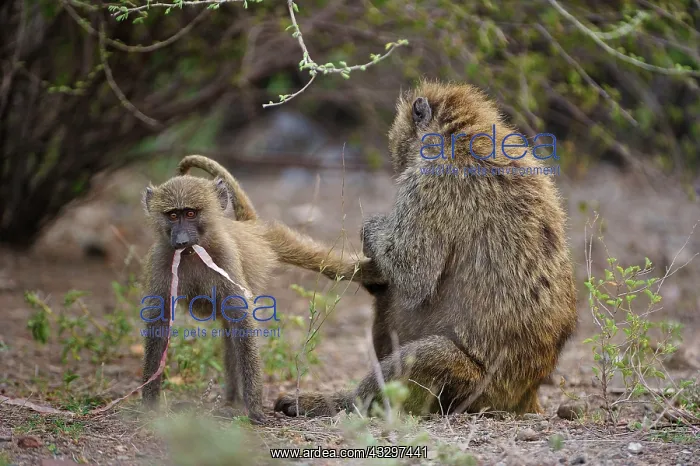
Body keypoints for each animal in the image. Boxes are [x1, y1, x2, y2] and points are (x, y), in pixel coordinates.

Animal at [140, 174, 277, 424]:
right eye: (172, 215)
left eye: (190, 214)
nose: (181, 241)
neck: (192, 253)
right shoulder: (160, 260)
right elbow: (159, 323)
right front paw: (149, 404)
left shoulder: (225, 256)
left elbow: (241, 319)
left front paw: (255, 408)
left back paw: (234, 401)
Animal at [176, 77, 578, 419]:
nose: (396, 161)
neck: (463, 135)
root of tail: (525, 396)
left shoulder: (430, 181)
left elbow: (415, 277)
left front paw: (372, 230)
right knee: (389, 301)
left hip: (475, 389)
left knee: (427, 351)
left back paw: (339, 404)